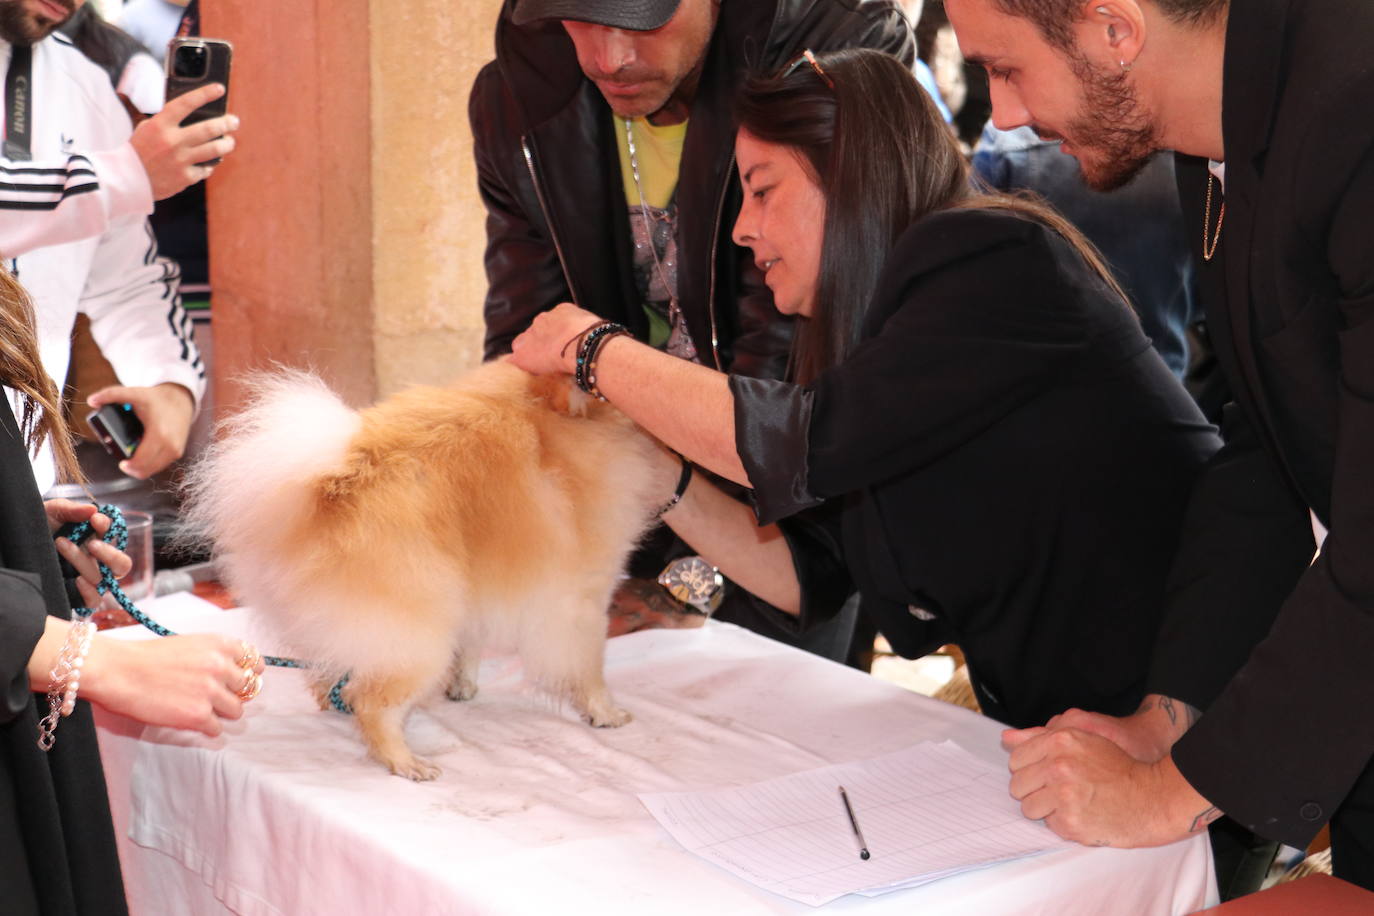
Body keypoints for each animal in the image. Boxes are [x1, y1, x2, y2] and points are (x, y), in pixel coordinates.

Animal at [181, 357, 665, 780]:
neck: (549, 421)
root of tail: (334, 481)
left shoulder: (477, 585)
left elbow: (472, 642)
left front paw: (463, 687)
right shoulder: (581, 599)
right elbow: (588, 667)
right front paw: (605, 711)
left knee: (330, 674)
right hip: (419, 627)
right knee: (371, 700)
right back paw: (403, 761)